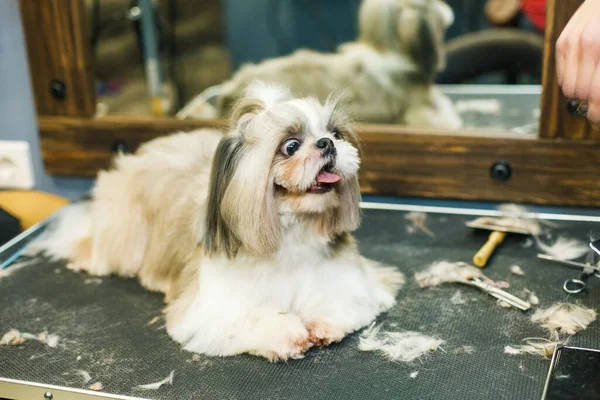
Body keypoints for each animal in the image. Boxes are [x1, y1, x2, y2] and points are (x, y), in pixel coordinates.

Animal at [30, 83, 406, 360]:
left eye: (335, 133)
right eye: (291, 145)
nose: (327, 143)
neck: (291, 235)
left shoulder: (351, 280)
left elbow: (340, 301)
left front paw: (322, 321)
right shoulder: (212, 308)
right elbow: (252, 317)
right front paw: (286, 333)